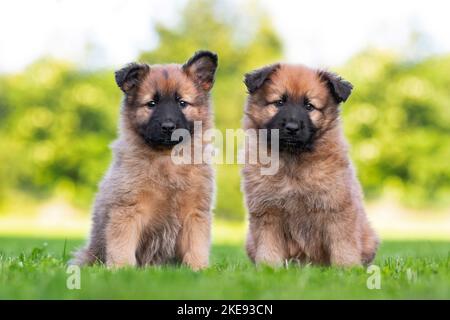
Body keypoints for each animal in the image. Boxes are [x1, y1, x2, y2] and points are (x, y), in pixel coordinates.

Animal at [71, 50, 218, 270]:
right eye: (151, 104)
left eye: (182, 103)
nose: (168, 127)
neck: (166, 158)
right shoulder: (128, 210)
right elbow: (122, 245)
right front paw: (121, 269)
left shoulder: (195, 212)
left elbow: (196, 246)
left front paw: (198, 269)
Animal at [241, 63, 378, 266]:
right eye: (279, 102)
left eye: (309, 106)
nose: (292, 128)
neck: (292, 160)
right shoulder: (267, 211)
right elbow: (268, 247)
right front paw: (268, 268)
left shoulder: (337, 208)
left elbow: (343, 245)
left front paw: (347, 268)